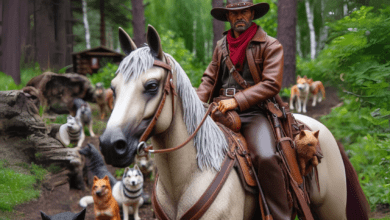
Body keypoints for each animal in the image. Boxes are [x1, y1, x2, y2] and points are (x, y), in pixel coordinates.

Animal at [98, 24, 368, 219]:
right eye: (113, 87)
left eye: (152, 86)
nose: (111, 145)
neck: (189, 177)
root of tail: (321, 130)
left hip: (332, 210)